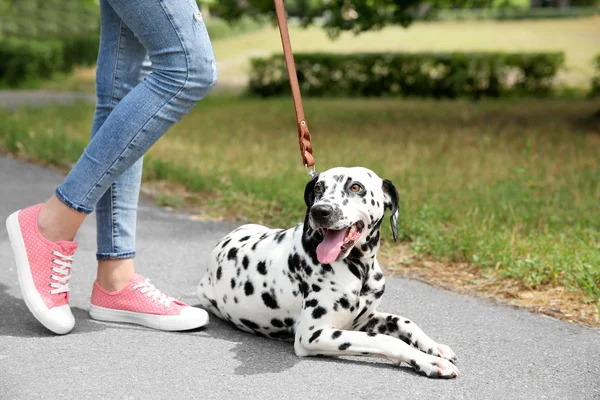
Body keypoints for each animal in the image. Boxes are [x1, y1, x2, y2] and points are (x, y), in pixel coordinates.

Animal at [197, 166, 460, 378]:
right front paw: (428, 361)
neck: (359, 269)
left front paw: (434, 347)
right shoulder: (314, 335)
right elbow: (386, 340)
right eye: (319, 188)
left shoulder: (362, 319)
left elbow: (404, 321)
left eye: (356, 187)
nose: (319, 211)